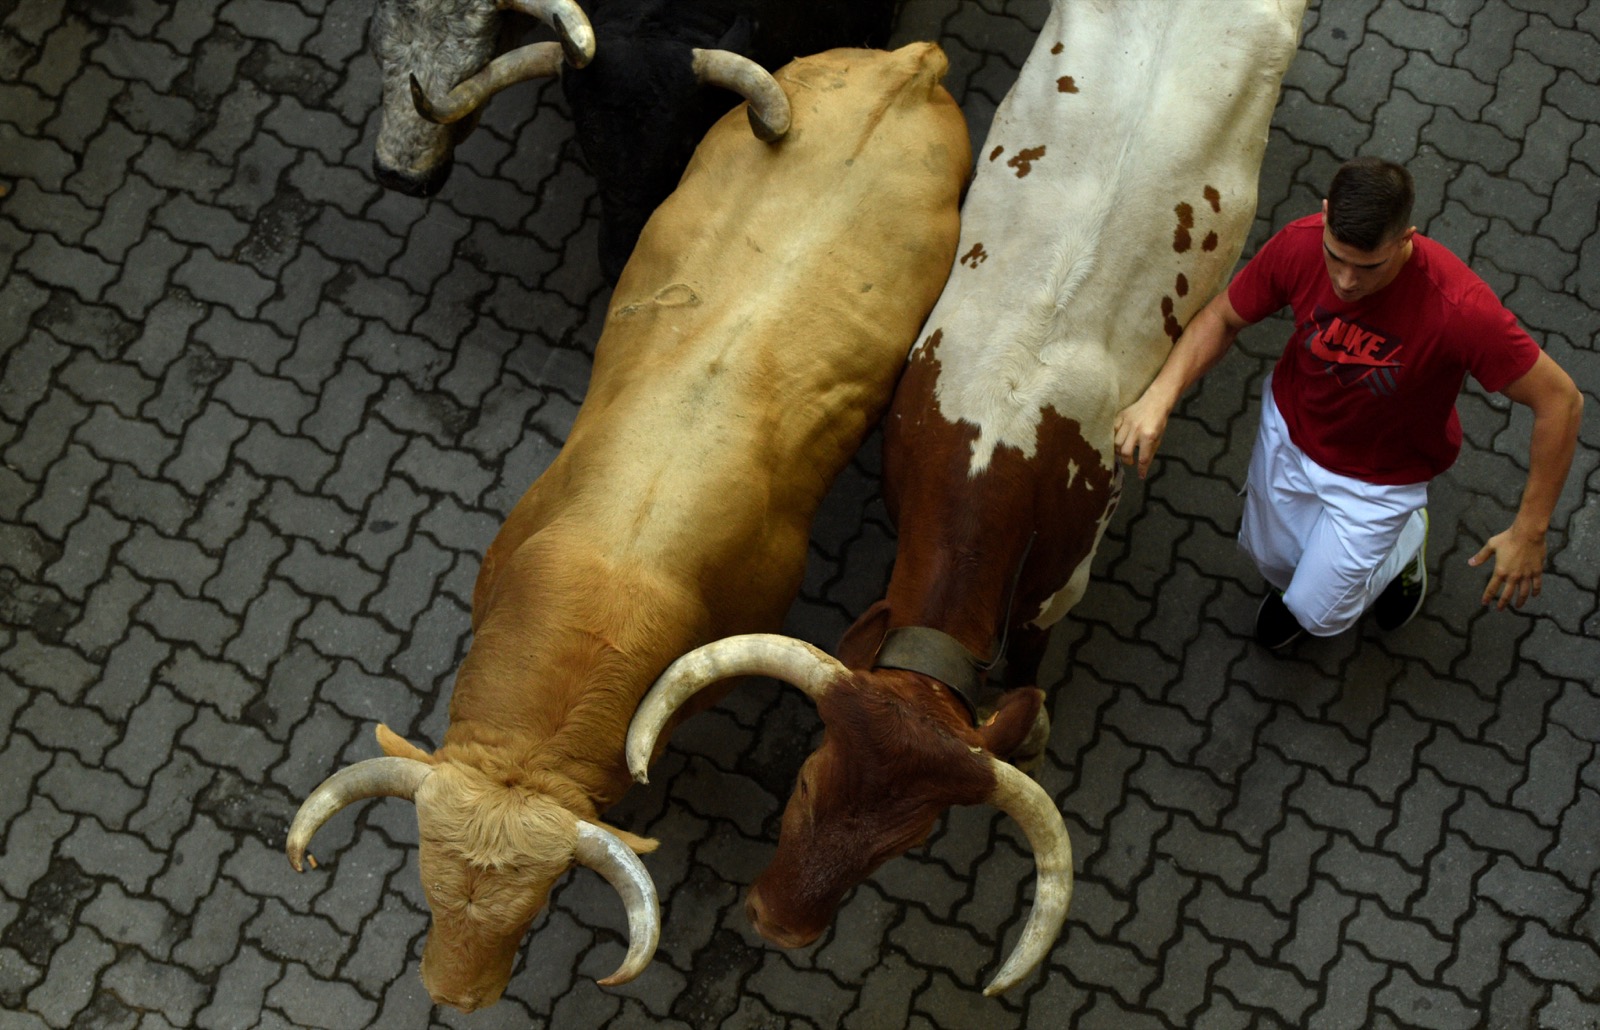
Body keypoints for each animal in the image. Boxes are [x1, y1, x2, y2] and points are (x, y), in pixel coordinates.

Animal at [617, 2, 1305, 998]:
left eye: (911, 840)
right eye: (808, 783)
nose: (779, 927)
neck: (1000, 439)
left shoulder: (1060, 585)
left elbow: (1028, 663)